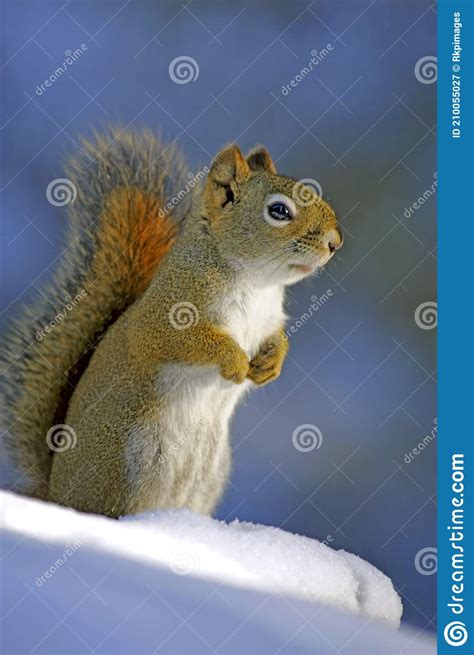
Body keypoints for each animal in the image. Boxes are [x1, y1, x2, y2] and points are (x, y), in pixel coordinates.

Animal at [0, 127, 340, 516]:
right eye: (279, 210)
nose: (335, 242)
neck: (256, 284)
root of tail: (56, 494)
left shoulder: (267, 322)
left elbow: (277, 339)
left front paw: (271, 364)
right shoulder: (166, 316)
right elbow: (184, 341)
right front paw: (233, 360)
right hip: (128, 465)